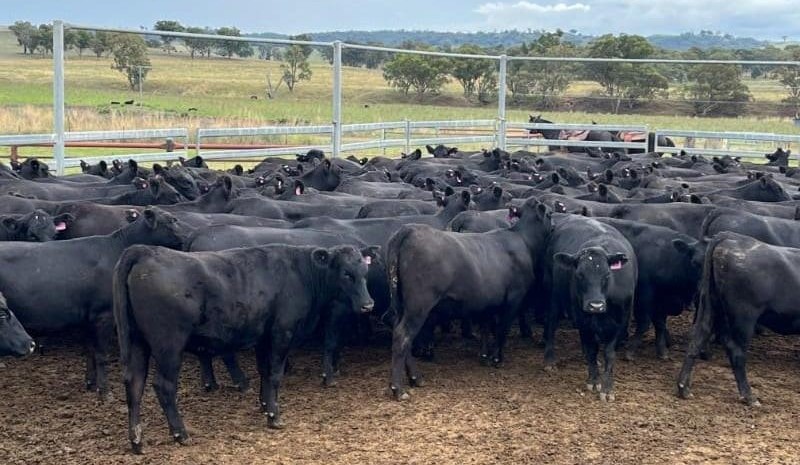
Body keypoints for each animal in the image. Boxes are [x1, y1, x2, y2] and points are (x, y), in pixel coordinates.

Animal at [113, 244, 377, 453]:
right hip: (169, 345)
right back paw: (181, 434)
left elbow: (264, 372)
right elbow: (275, 374)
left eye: (365, 273)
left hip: (137, 342)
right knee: (164, 386)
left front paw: (265, 405)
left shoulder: (263, 337)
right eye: (346, 273)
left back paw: (136, 441)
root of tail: (146, 251)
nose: (368, 305)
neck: (300, 273)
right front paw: (274, 417)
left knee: (134, 385)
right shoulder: (282, 333)